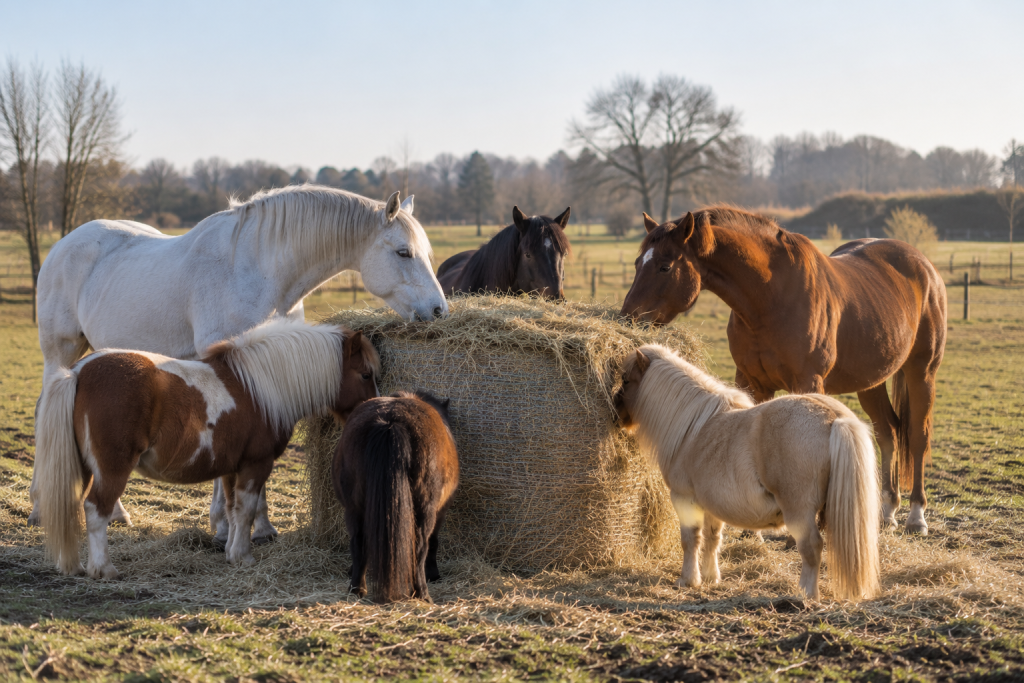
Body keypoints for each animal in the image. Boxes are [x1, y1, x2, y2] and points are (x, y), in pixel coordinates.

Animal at [31, 185, 445, 547]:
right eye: (403, 252)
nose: (439, 310)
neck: (257, 271)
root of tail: (65, 244)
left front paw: (260, 527)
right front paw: (224, 526)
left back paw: (115, 511)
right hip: (59, 353)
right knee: (45, 409)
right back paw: (39, 505)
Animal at [35, 319, 380, 579]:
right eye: (366, 374)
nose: (372, 411)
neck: (259, 387)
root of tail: (79, 371)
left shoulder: (231, 469)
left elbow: (232, 509)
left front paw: (230, 551)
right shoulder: (256, 464)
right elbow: (247, 510)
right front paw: (243, 556)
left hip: (83, 467)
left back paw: (75, 566)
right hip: (111, 469)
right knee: (96, 510)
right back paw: (103, 569)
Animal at [332, 390, 459, 603]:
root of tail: (390, 421)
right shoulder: (440, 511)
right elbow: (433, 542)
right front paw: (433, 574)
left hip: (354, 509)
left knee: (358, 543)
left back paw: (357, 589)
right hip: (424, 511)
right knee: (420, 546)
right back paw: (422, 593)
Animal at [614, 345, 880, 601]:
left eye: (626, 380)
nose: (616, 414)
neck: (692, 430)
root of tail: (834, 418)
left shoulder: (684, 500)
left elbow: (690, 540)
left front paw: (688, 580)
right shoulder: (711, 505)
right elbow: (712, 539)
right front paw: (711, 577)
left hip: (799, 512)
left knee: (811, 547)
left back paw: (806, 594)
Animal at [620, 207, 946, 535]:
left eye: (664, 266)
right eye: (636, 263)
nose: (627, 318)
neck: (771, 297)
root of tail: (925, 267)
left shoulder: (808, 381)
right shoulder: (752, 381)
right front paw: (752, 528)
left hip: (922, 373)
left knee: (917, 437)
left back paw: (916, 515)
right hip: (870, 382)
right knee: (887, 433)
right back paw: (888, 511)